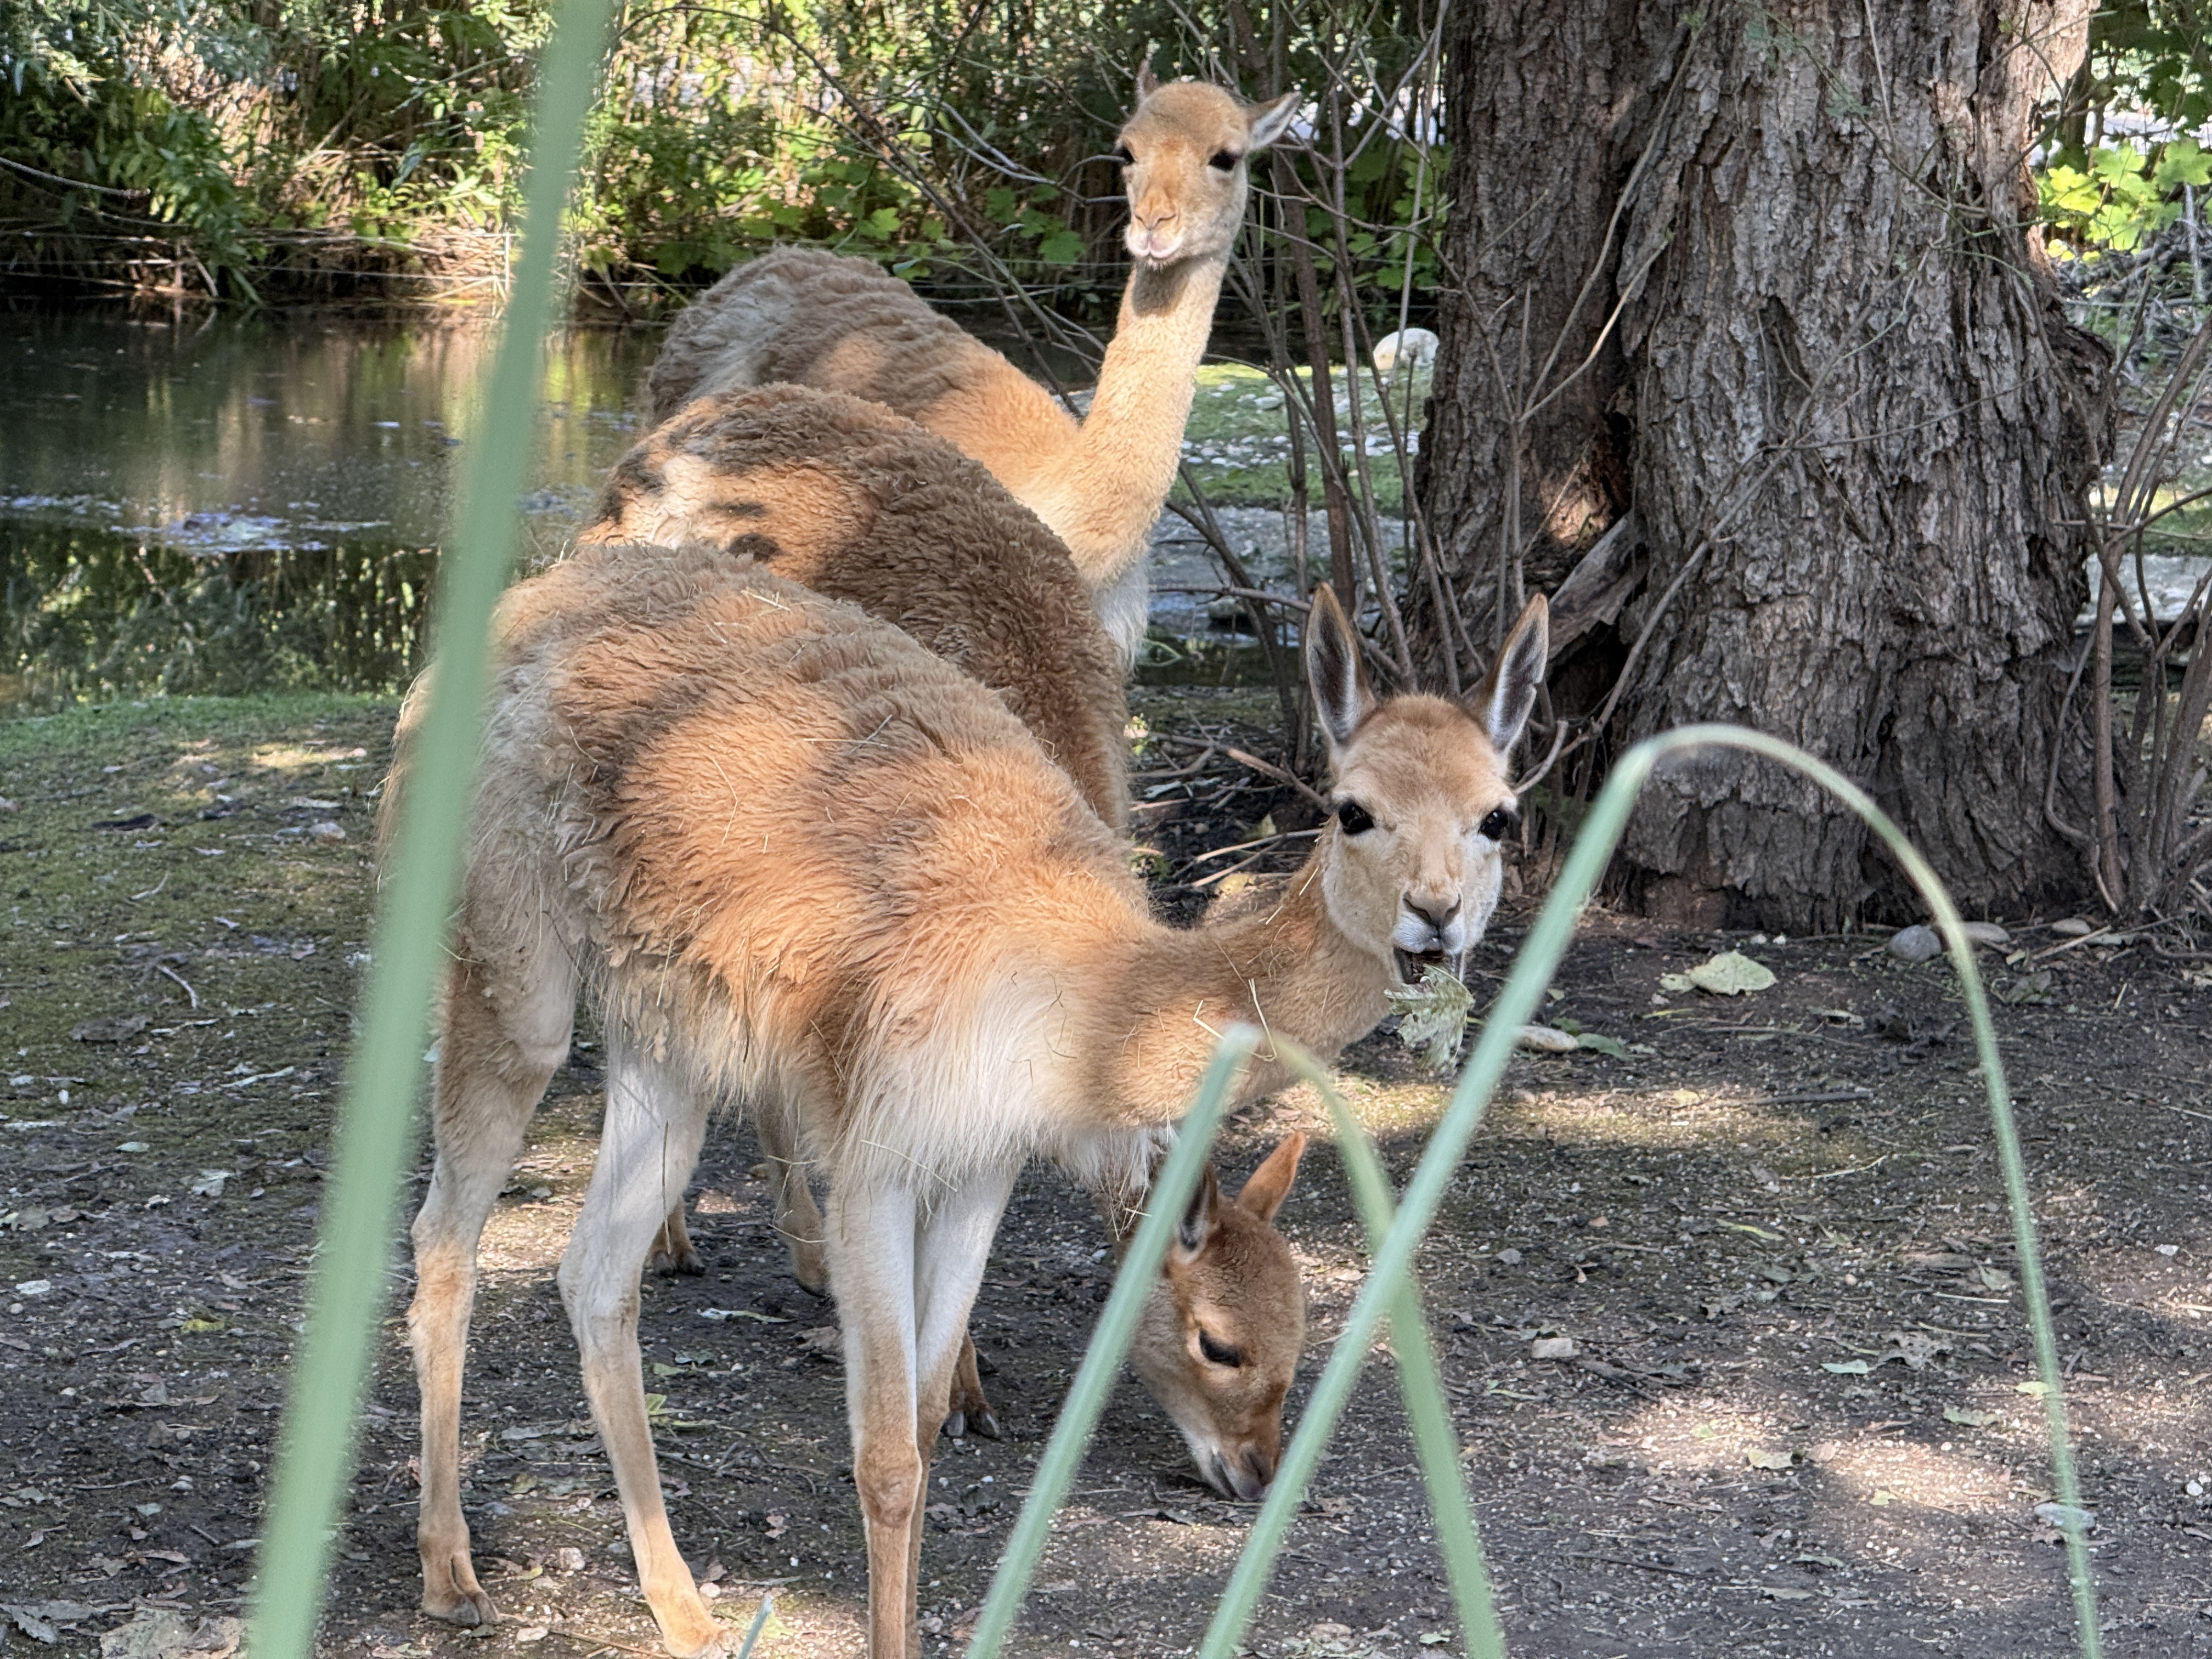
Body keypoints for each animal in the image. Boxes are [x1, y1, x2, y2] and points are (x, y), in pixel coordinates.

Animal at [396, 540, 1546, 1657]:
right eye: (1354, 811)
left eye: (1498, 815)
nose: (1435, 914)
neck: (1074, 987)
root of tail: (531, 594)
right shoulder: (872, 1157)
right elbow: (886, 1457)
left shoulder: (979, 1164)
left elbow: (928, 1408)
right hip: (511, 963)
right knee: (445, 1233)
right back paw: (450, 1573)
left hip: (667, 1039)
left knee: (594, 1273)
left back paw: (678, 1604)